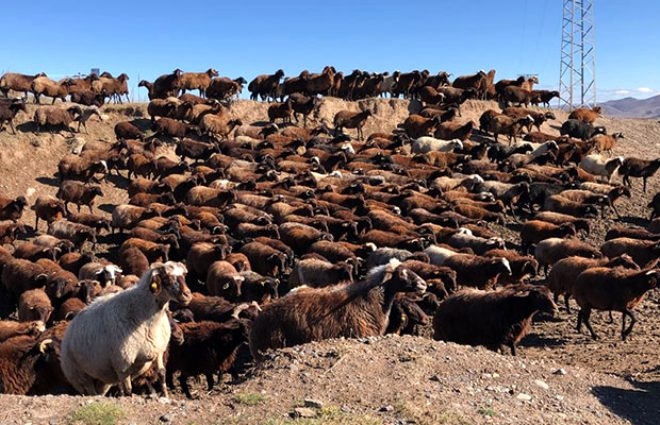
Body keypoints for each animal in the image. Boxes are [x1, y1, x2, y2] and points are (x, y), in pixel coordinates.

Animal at [58, 260, 193, 396]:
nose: (187, 295)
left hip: (103, 377)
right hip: (79, 375)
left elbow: (161, 374)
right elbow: (128, 390)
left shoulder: (157, 351)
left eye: (184, 275)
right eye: (166, 277)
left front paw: (165, 395)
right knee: (90, 390)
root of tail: (70, 326)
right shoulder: (123, 365)